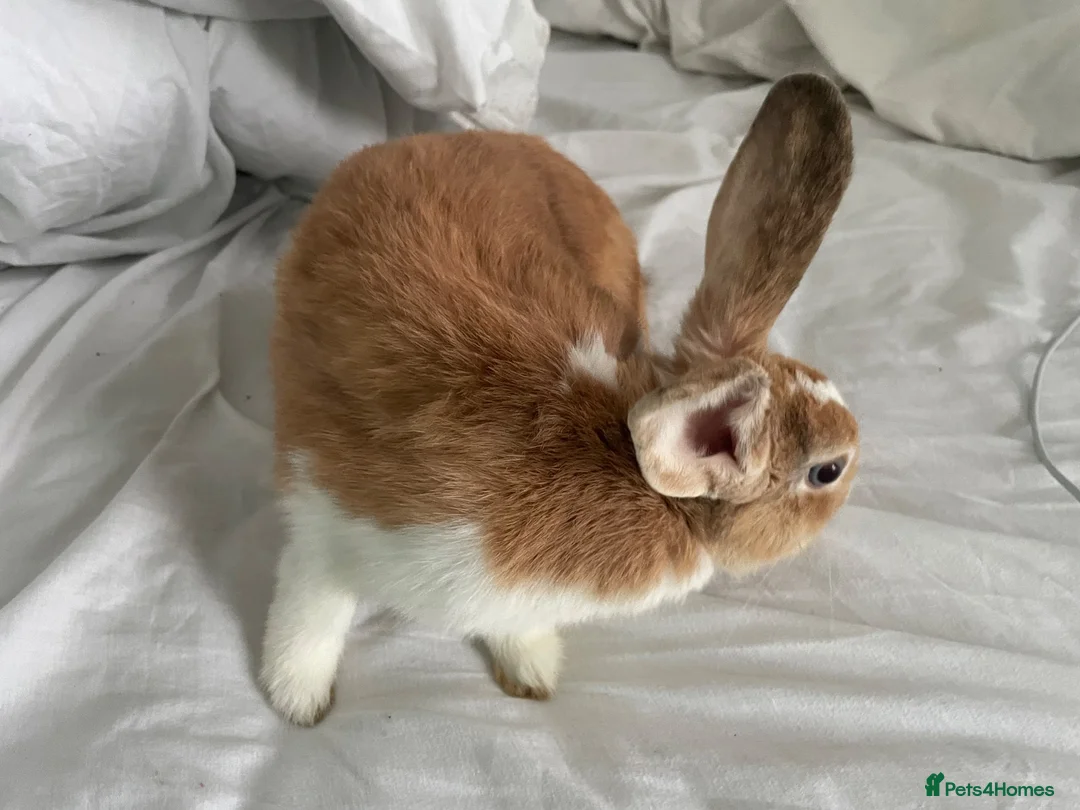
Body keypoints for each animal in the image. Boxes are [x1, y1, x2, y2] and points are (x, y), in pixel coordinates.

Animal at [261, 73, 857, 726]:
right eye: (827, 472)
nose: (857, 453)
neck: (632, 470)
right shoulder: (325, 521)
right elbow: (311, 613)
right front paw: (295, 699)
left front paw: (530, 669)